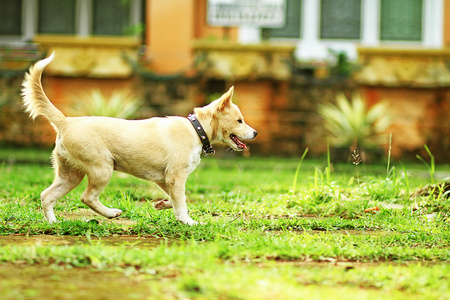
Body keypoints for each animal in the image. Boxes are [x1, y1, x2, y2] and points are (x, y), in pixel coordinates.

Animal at [22, 53, 256, 225]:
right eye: (240, 120)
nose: (255, 133)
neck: (196, 129)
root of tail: (66, 122)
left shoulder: (164, 179)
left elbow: (175, 199)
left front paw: (162, 204)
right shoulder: (175, 177)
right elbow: (181, 201)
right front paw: (188, 221)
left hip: (70, 174)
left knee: (46, 195)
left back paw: (53, 222)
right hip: (102, 167)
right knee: (87, 197)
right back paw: (110, 213)